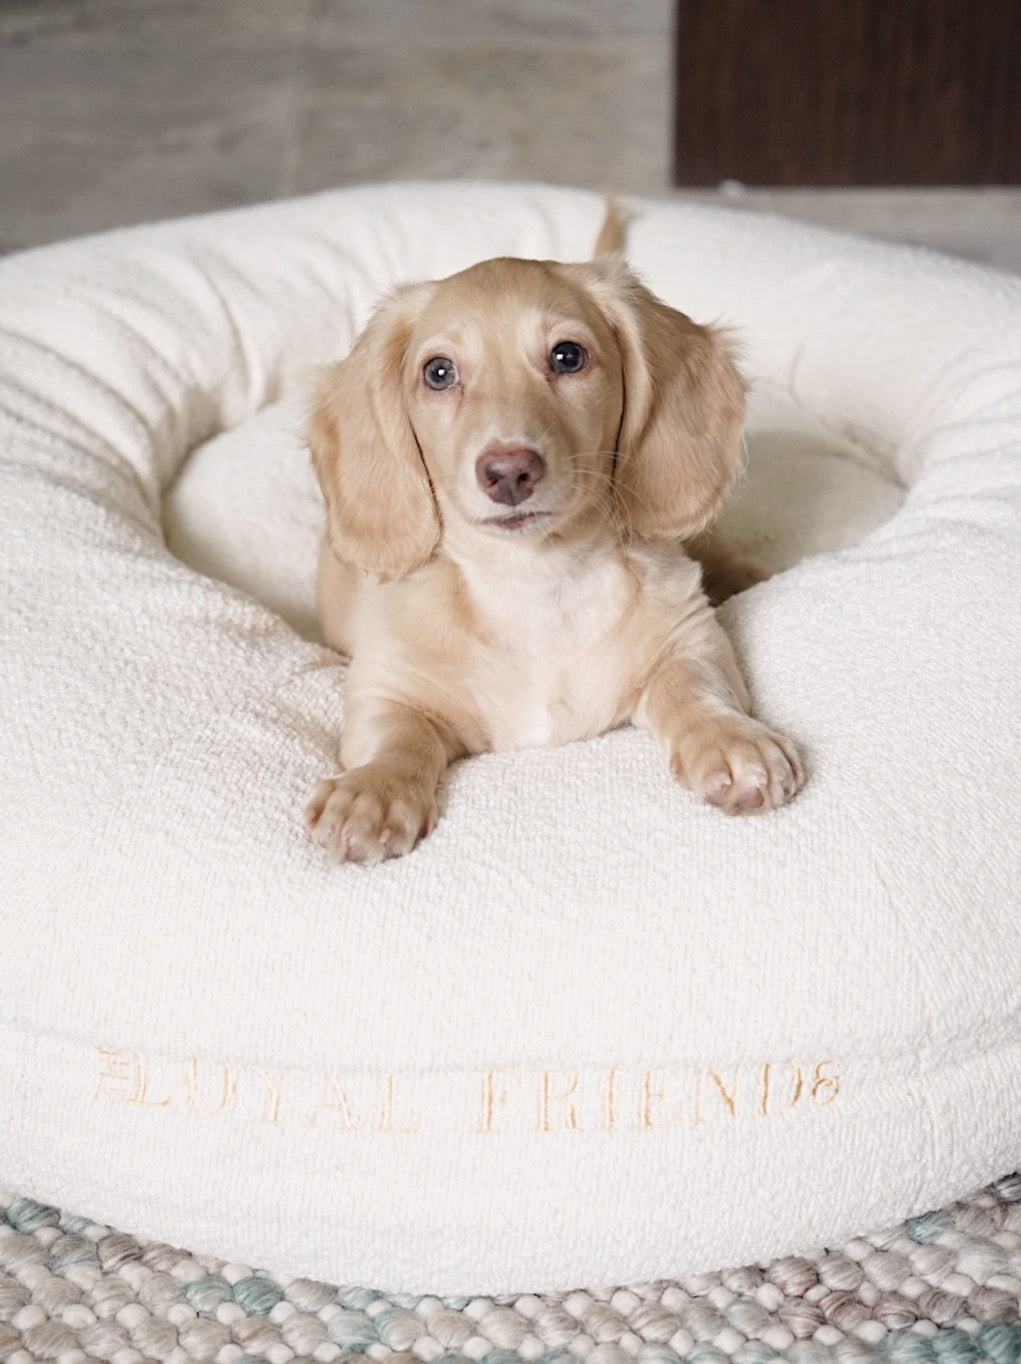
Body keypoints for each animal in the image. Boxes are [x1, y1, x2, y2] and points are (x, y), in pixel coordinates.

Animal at [306, 229, 801, 856]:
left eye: (568, 356)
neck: (537, 580)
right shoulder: (385, 685)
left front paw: (731, 739)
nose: (508, 472)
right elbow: (395, 735)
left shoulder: (689, 642)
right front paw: (372, 790)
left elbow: (695, 686)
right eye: (438, 373)